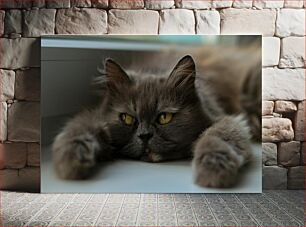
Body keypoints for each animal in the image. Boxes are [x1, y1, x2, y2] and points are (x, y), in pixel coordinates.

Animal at [52, 45, 260, 186]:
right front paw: (71, 159)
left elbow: (216, 138)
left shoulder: (225, 118)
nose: (144, 136)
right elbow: (78, 129)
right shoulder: (94, 115)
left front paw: (212, 169)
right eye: (127, 118)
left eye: (164, 117)